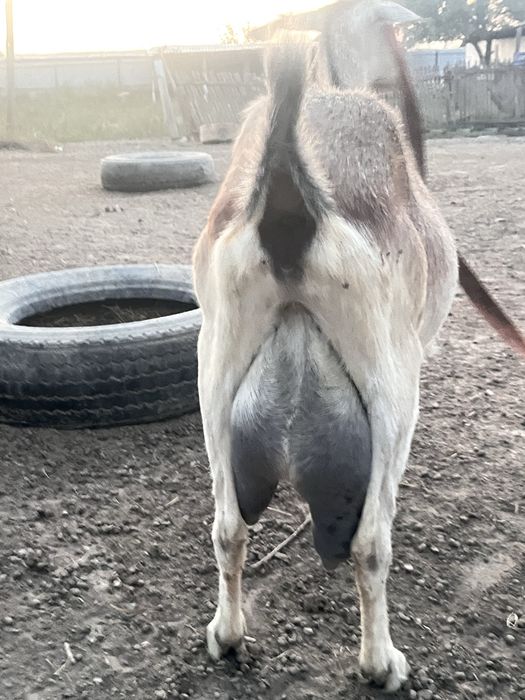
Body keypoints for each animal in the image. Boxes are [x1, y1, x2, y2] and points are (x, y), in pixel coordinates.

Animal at [192, 0, 521, 692]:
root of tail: (288, 199)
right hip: (393, 386)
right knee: (371, 546)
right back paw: (380, 664)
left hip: (215, 375)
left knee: (227, 529)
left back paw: (228, 637)